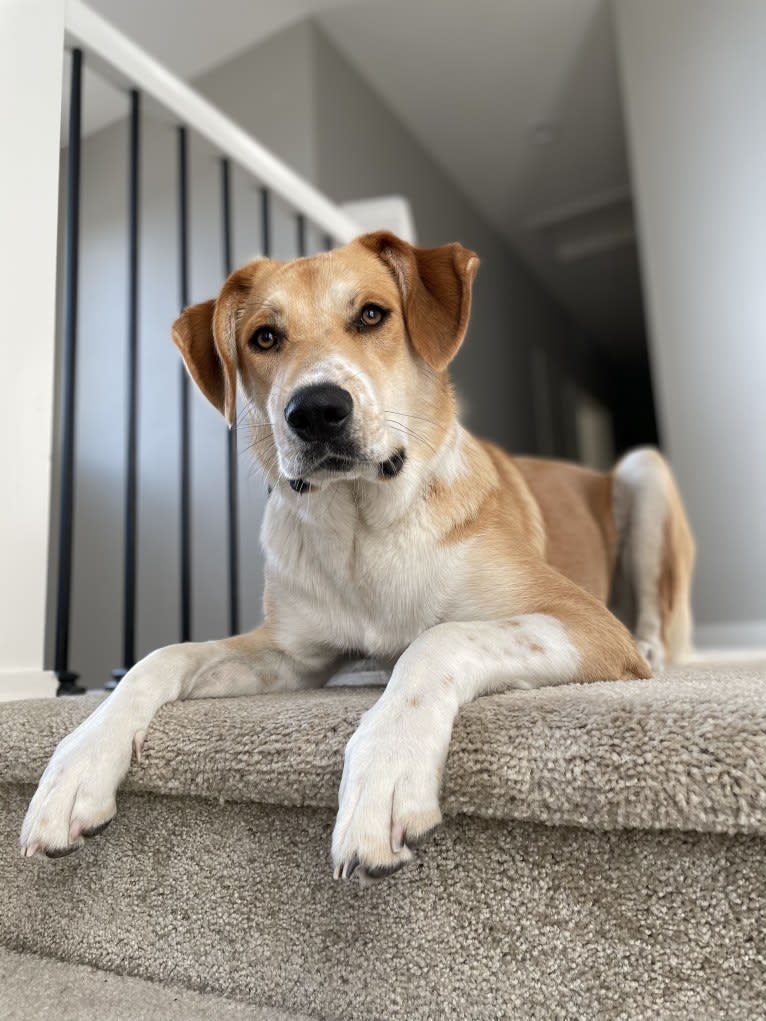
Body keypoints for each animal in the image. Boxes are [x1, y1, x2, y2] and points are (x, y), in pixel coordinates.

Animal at [22, 229, 694, 878]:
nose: (316, 411)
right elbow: (160, 657)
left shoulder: (585, 622)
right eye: (264, 337)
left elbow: (439, 639)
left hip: (644, 471)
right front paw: (78, 763)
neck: (361, 532)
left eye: (372, 315)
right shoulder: (290, 654)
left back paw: (658, 649)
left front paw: (387, 773)